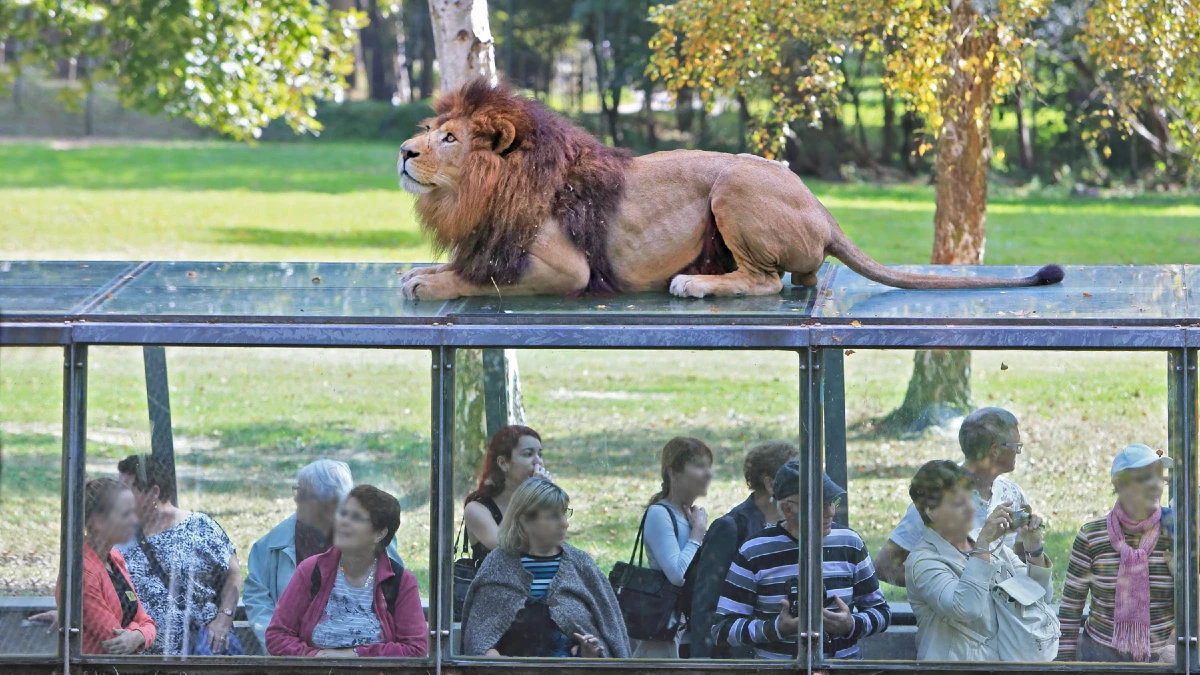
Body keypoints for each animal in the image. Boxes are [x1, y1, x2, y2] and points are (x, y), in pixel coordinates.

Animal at [393, 79, 1060, 297]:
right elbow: (473, 265)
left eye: (449, 138)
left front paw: (433, 282)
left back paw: (695, 284)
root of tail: (823, 210)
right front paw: (424, 270)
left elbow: (487, 280)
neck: (481, 193)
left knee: (766, 283)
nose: (403, 151)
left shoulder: (568, 270)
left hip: (733, 186)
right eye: (430, 130)